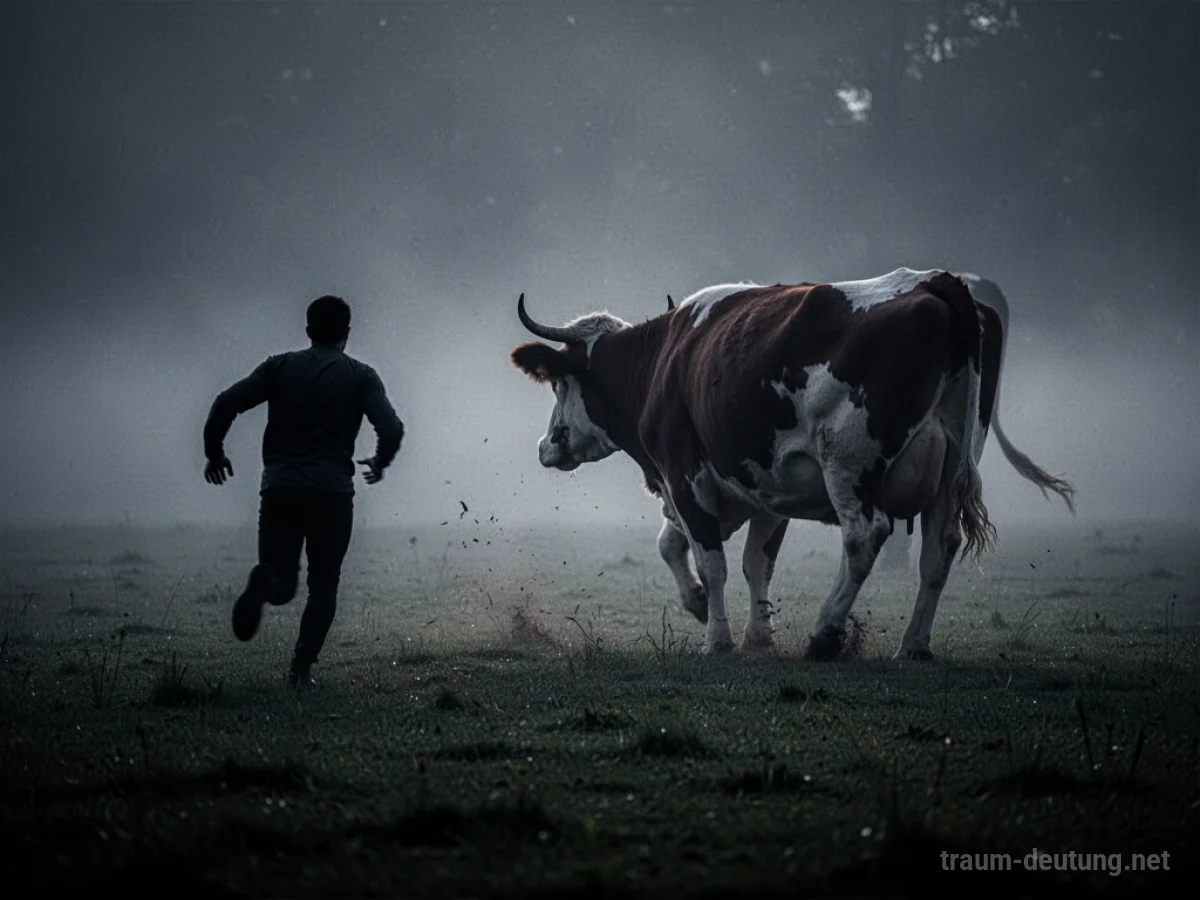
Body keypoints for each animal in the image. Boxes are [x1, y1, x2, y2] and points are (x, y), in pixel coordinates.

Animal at [509, 268, 1075, 660]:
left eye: (560, 383)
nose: (544, 446)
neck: (664, 361)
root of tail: (938, 284)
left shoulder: (684, 472)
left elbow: (711, 559)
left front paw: (716, 637)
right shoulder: (766, 485)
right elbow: (747, 560)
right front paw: (750, 631)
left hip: (848, 461)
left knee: (865, 535)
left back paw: (826, 634)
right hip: (951, 470)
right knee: (939, 550)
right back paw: (913, 646)